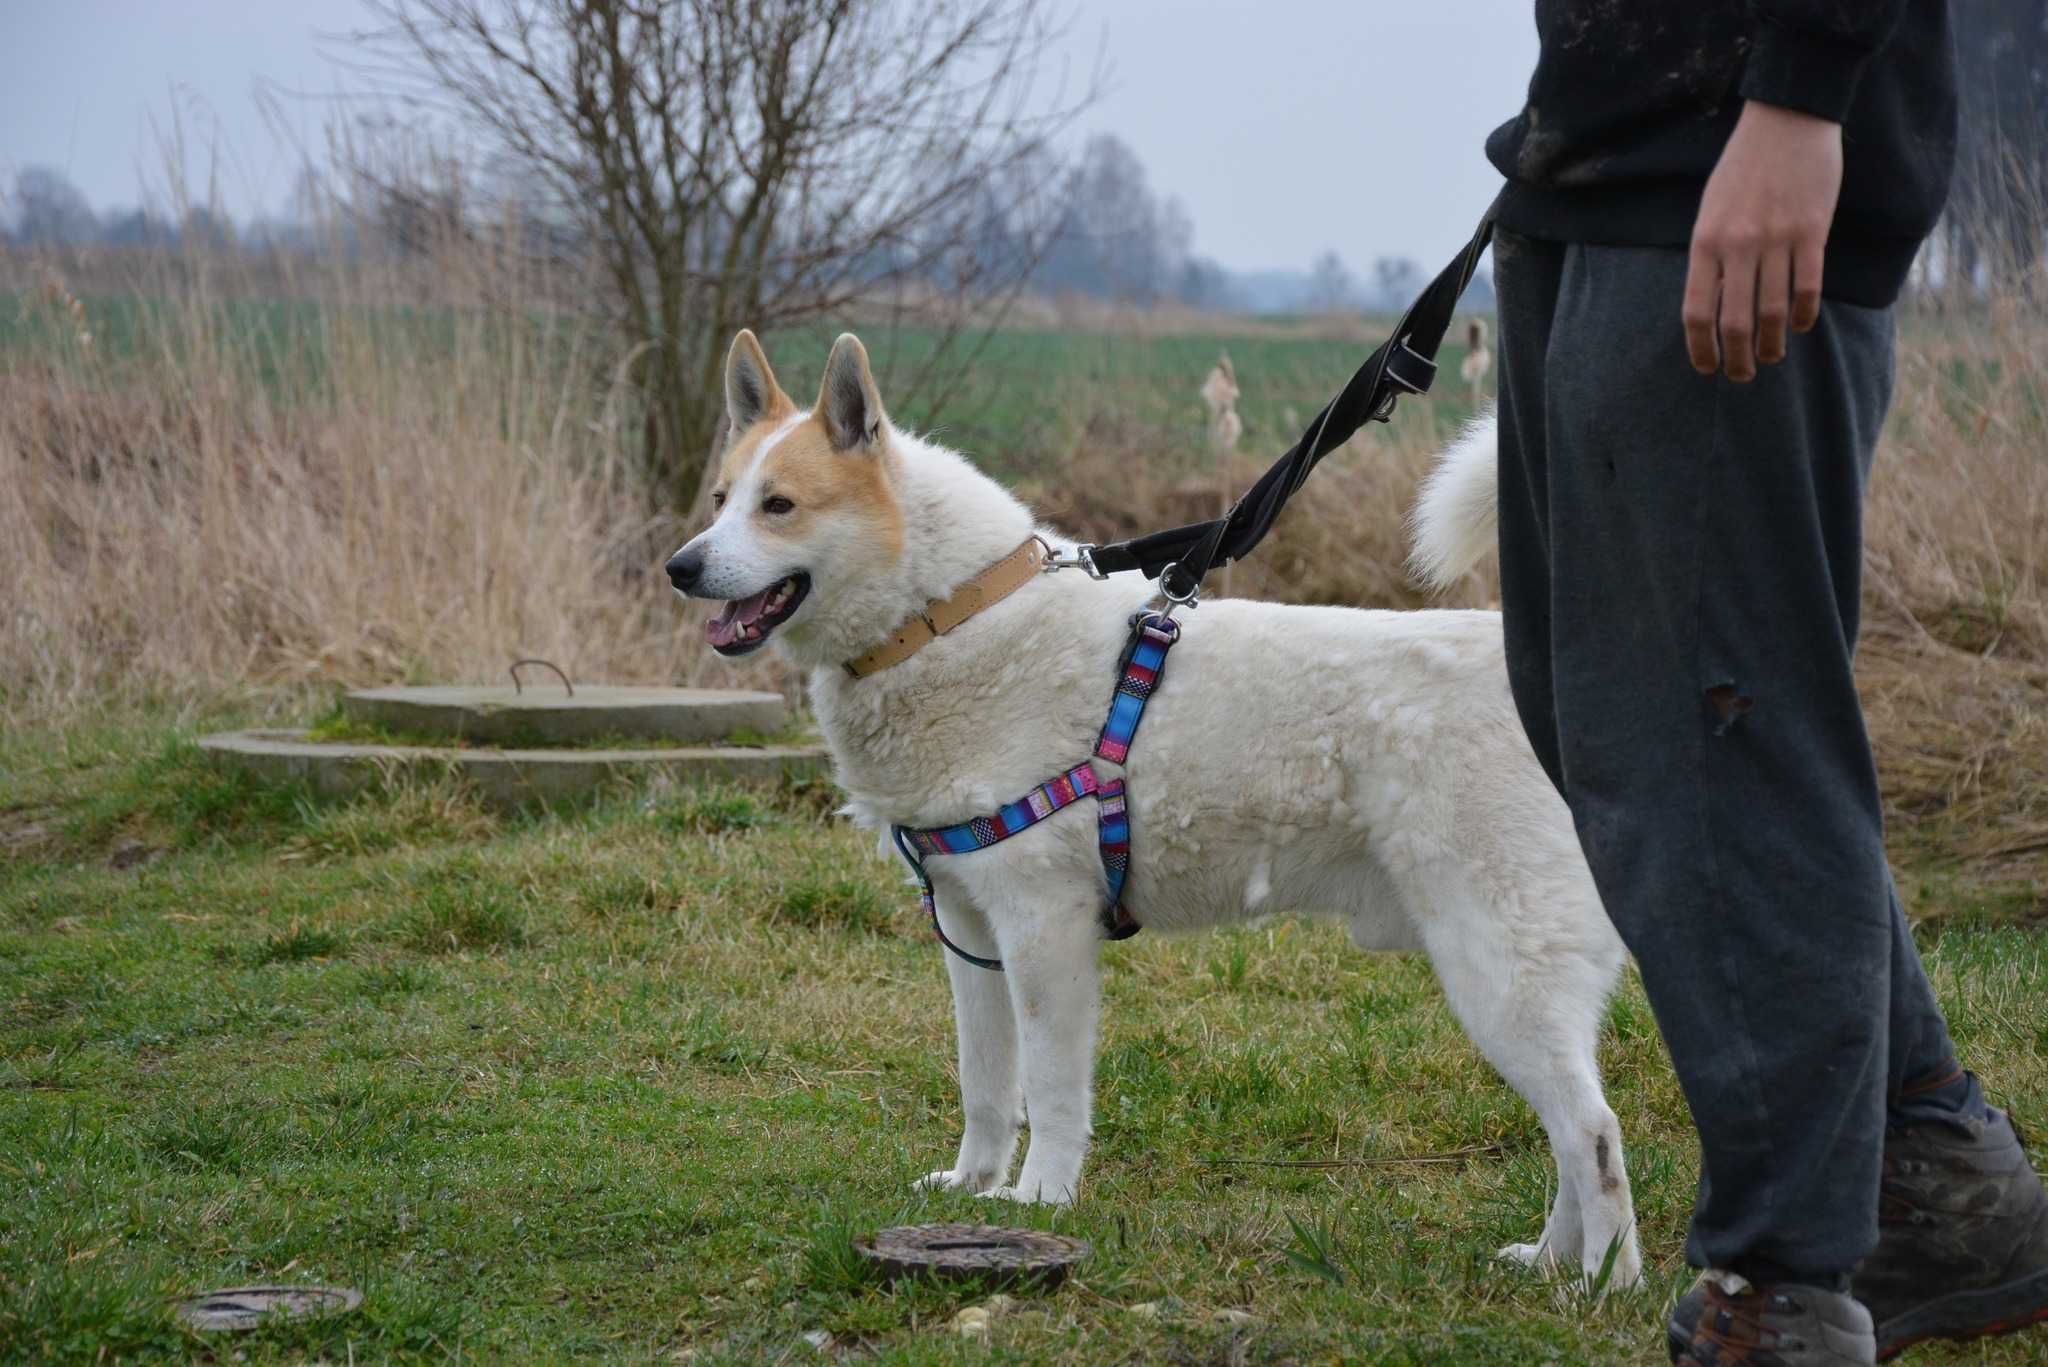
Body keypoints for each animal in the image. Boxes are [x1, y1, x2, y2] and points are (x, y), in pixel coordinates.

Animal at [671, 327, 1646, 1287]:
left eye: (780, 505)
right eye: (721, 498)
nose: (682, 566)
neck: (948, 619)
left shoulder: (1045, 932)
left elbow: (1051, 1092)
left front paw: (1040, 1201)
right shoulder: (969, 927)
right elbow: (985, 1084)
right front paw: (970, 1185)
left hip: (1499, 973)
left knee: (1594, 1136)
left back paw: (1603, 1284)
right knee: (1575, 1133)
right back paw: (1548, 1263)